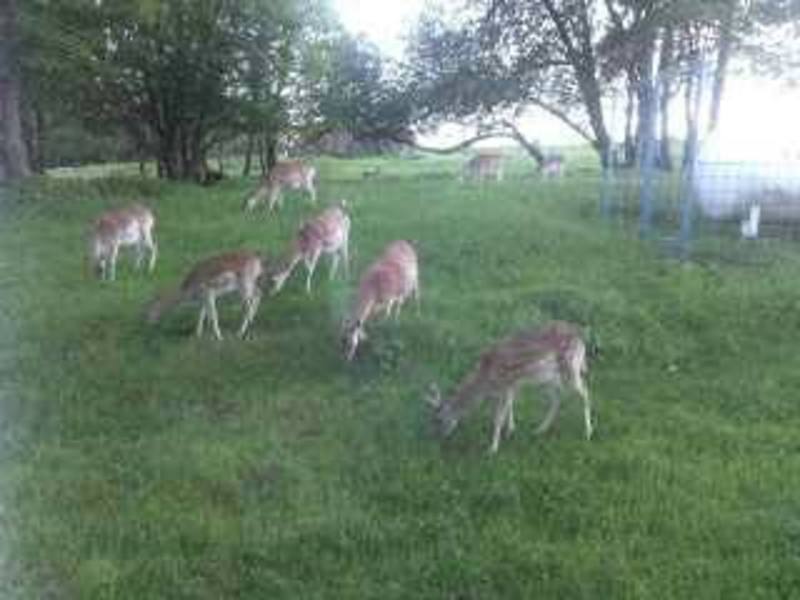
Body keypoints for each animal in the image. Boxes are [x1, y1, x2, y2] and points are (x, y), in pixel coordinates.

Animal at [424, 322, 592, 452]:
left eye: (439, 419)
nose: (439, 436)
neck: (485, 379)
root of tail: (582, 340)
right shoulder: (510, 387)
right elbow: (509, 406)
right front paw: (510, 430)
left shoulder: (506, 385)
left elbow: (498, 417)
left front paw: (492, 448)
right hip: (548, 378)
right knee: (557, 397)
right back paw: (540, 429)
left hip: (571, 367)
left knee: (584, 391)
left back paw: (588, 432)